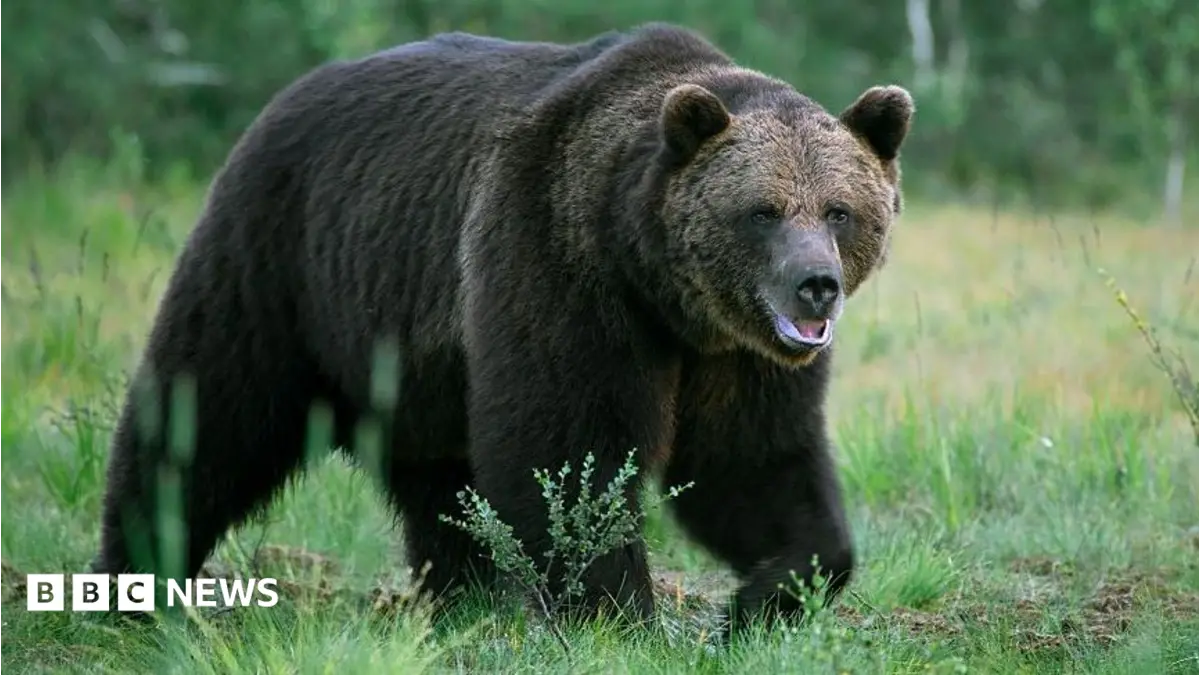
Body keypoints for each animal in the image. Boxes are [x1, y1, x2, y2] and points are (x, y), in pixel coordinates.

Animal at [92, 22, 913, 635]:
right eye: (763, 210)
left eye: (839, 210)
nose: (816, 286)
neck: (659, 286)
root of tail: (289, 93)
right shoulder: (557, 260)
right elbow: (567, 449)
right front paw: (616, 612)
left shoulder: (736, 355)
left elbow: (754, 462)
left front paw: (765, 597)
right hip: (280, 257)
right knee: (210, 410)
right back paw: (137, 574)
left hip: (411, 348)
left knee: (438, 478)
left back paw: (466, 596)